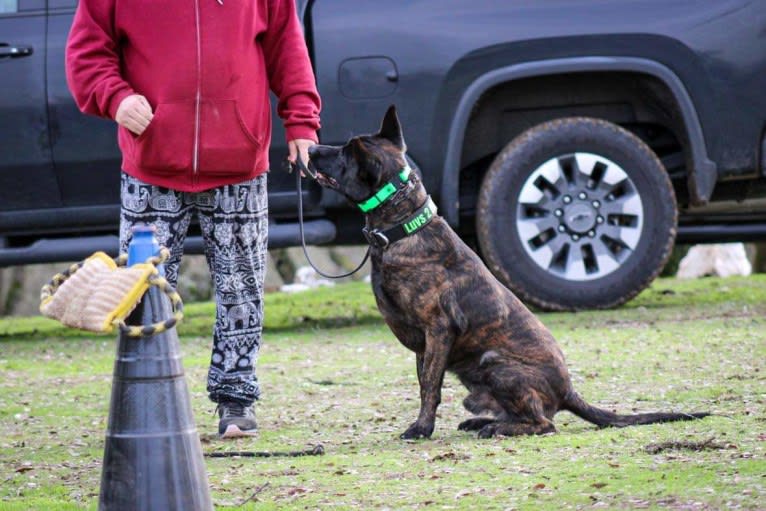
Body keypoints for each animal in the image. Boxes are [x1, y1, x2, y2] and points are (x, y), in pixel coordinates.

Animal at [304, 107, 708, 440]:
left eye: (343, 154)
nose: (310, 150)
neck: (405, 227)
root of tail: (567, 391)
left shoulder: (437, 330)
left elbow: (429, 387)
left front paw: (421, 428)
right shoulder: (424, 345)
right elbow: (424, 381)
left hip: (494, 365)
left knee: (545, 424)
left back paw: (497, 428)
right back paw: (483, 421)